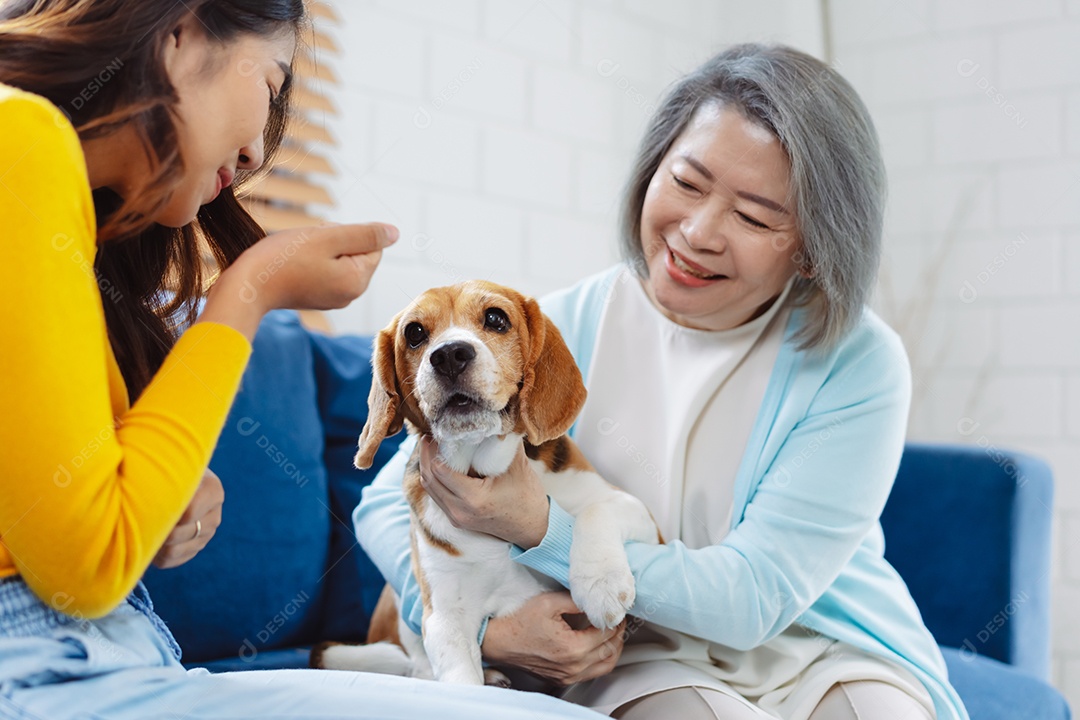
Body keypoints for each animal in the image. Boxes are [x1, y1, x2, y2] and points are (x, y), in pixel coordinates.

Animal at [315, 280, 656, 686]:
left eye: (495, 318)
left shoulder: (639, 514)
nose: (449, 355)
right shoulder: (445, 620)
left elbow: (597, 511)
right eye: (414, 333)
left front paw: (600, 584)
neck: (483, 465)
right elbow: (463, 684)